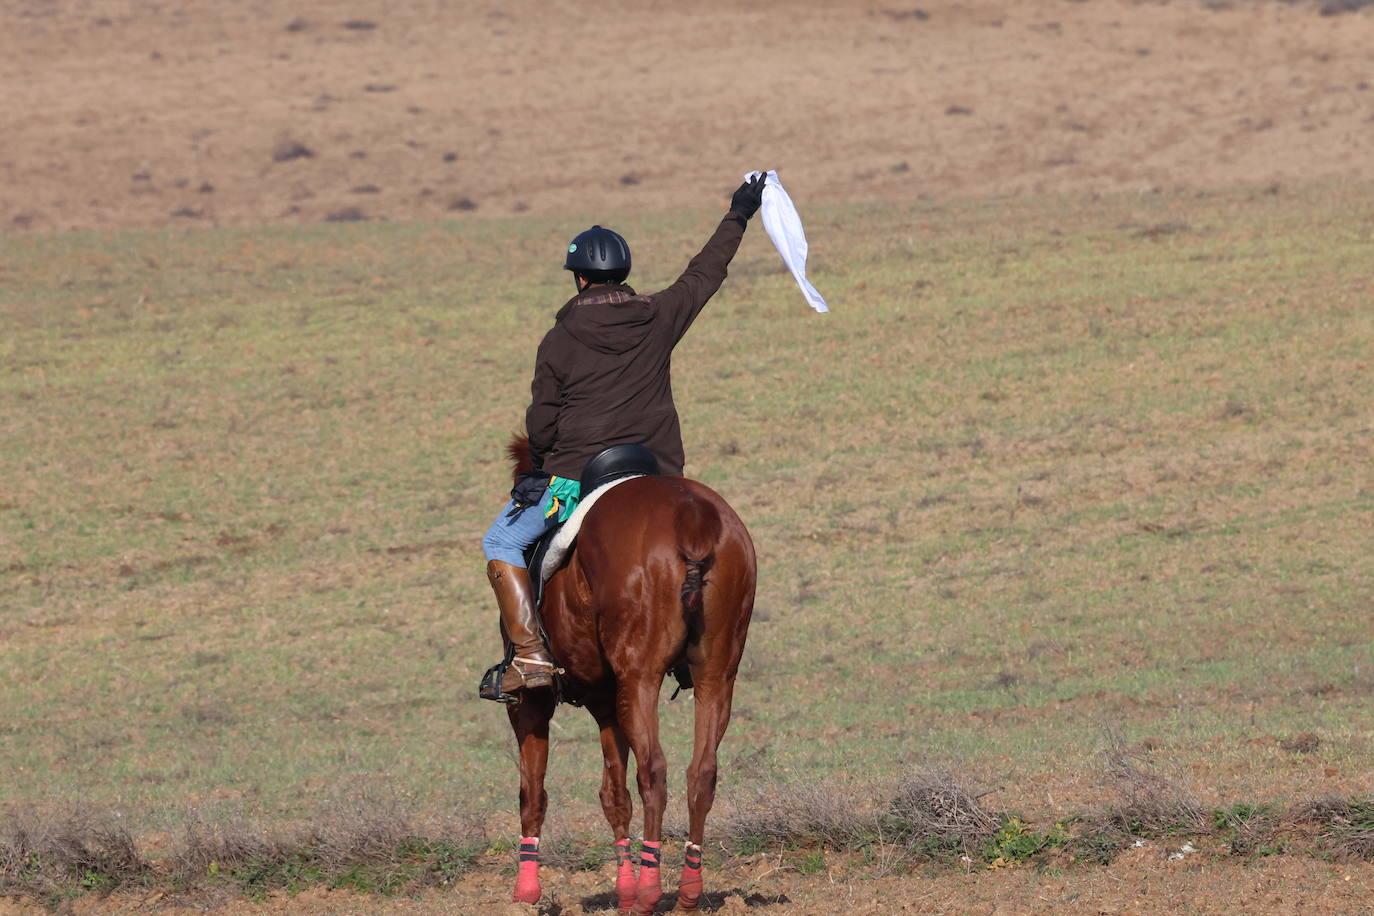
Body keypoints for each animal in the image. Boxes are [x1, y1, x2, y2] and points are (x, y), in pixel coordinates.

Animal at [505, 439, 758, 916]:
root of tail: (692, 516)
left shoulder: (533, 702)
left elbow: (533, 792)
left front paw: (526, 892)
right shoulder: (607, 700)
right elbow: (613, 794)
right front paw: (621, 890)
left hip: (639, 679)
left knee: (654, 771)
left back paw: (649, 891)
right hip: (715, 675)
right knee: (701, 771)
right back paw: (687, 891)